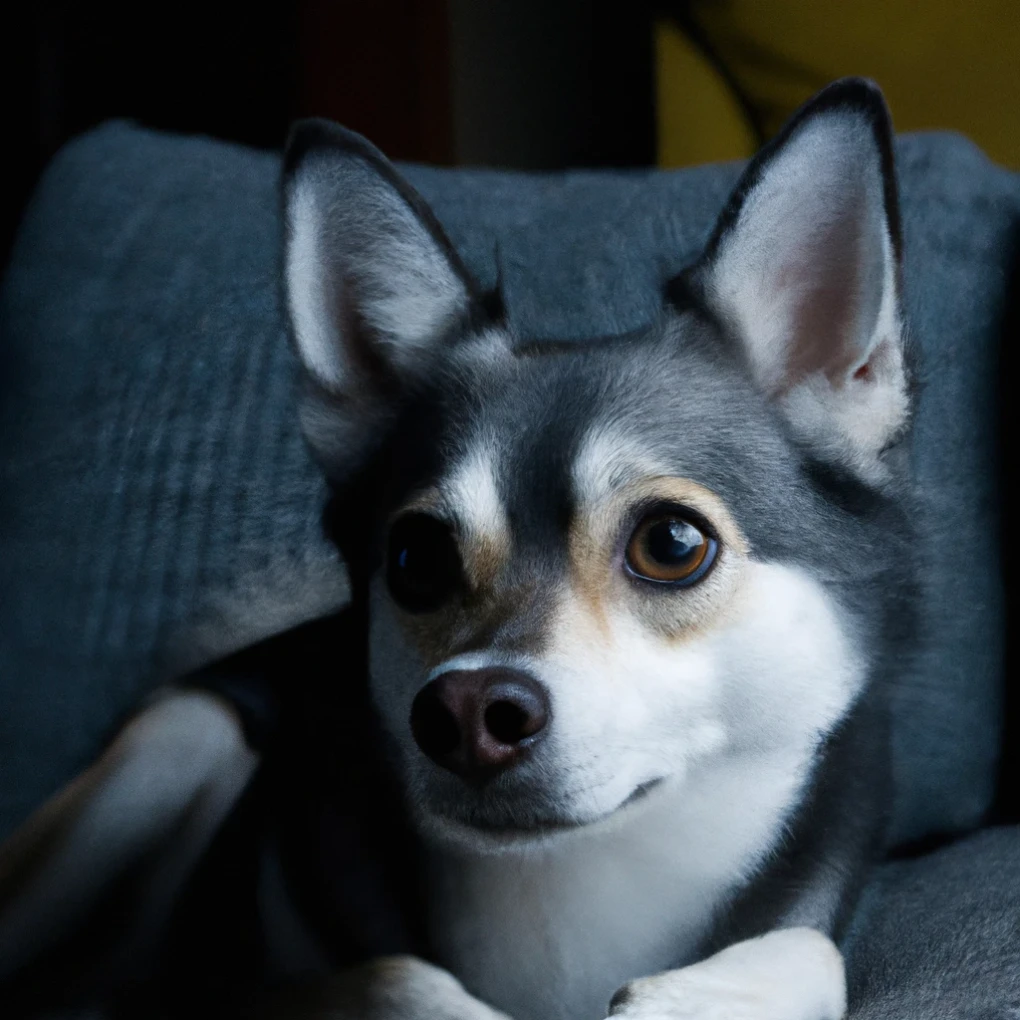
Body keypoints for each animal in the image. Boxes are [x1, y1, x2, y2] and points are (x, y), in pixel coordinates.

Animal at [0, 81, 922, 1020]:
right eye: (416, 560)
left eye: (671, 543)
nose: (469, 710)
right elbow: (393, 975)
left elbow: (811, 945)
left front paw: (690, 999)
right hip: (175, 742)